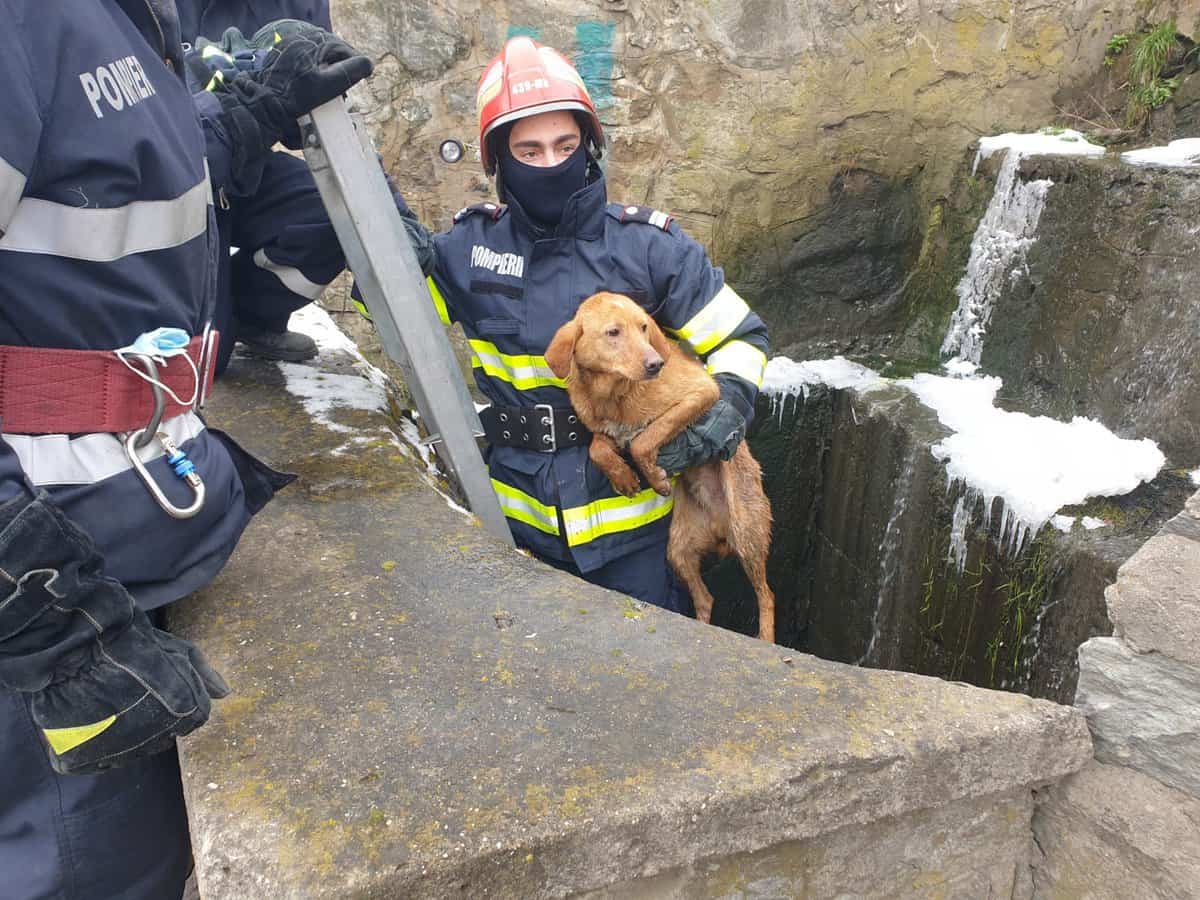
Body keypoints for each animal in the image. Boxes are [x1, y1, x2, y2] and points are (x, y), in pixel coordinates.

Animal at [547, 294, 777, 643]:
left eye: (644, 327)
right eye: (613, 332)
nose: (656, 364)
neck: (614, 394)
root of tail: (718, 527)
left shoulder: (703, 392)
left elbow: (646, 438)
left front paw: (654, 476)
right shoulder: (603, 432)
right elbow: (598, 449)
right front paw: (624, 477)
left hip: (746, 531)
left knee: (767, 595)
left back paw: (765, 639)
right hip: (678, 550)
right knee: (705, 598)